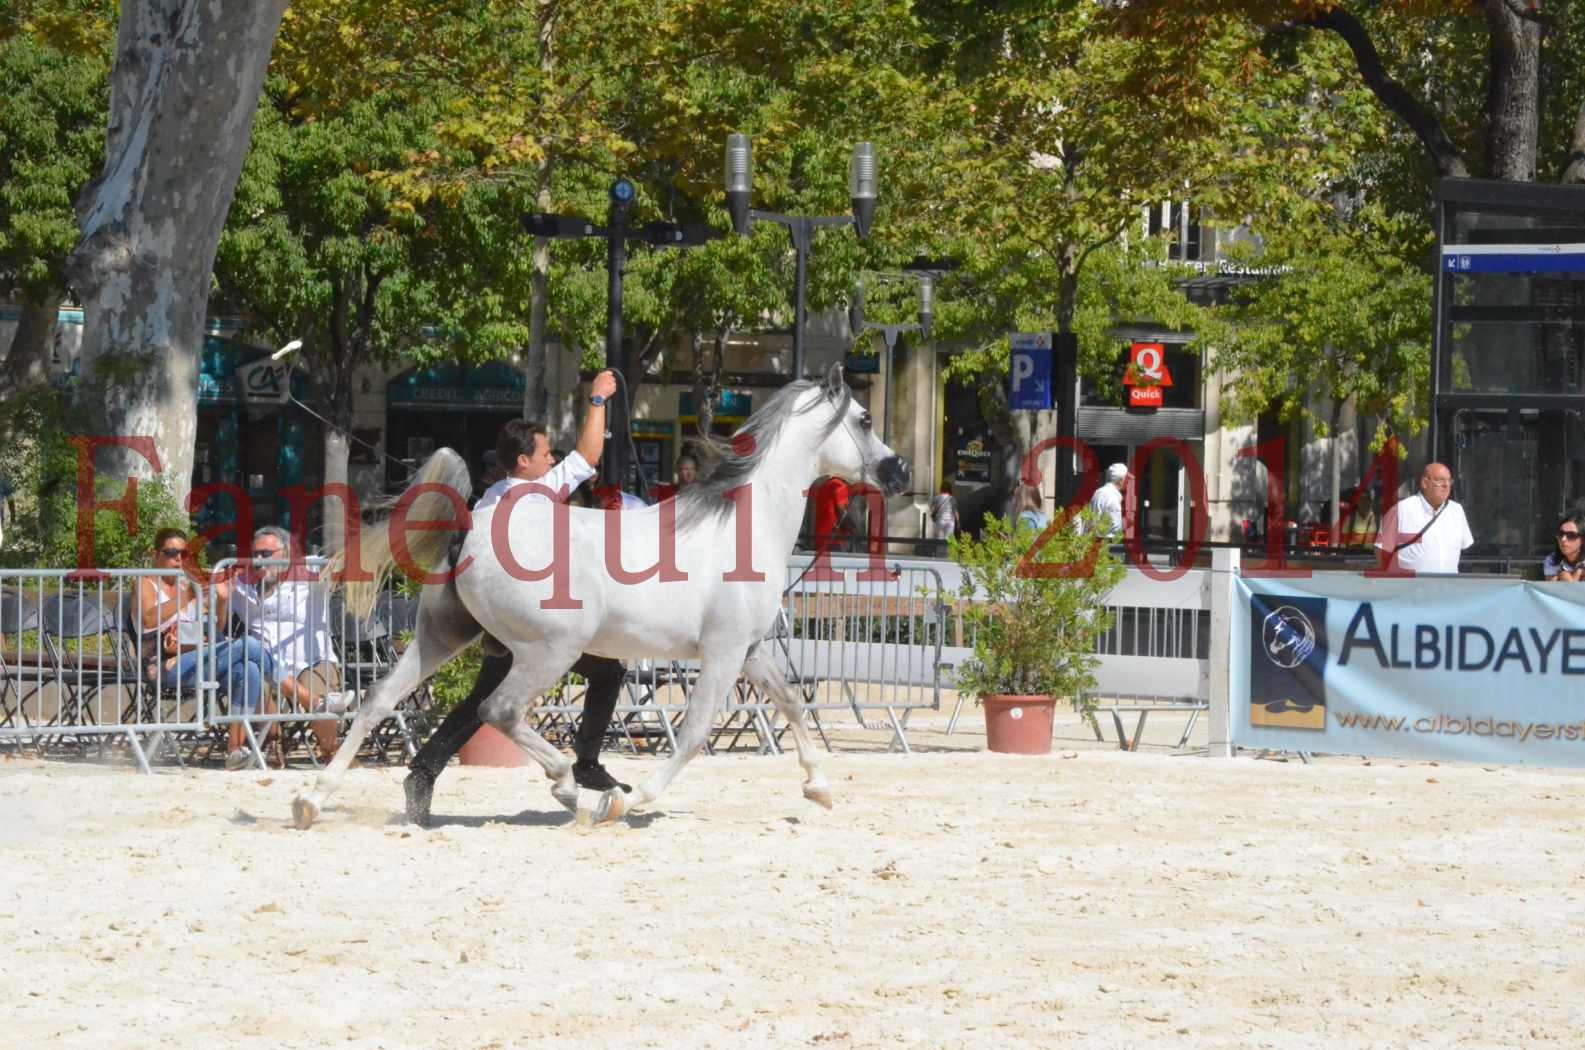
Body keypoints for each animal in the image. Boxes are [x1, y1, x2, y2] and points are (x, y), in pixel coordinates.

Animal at [293, 367, 912, 831]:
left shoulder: (751, 652)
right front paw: (626, 800)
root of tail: (469, 526)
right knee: (499, 711)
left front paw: (820, 787)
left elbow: (791, 704)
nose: (900, 471)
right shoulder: (722, 653)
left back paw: (313, 800)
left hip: (444, 637)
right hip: (552, 650)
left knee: (378, 700)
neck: (742, 527)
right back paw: (570, 788)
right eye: (863, 419)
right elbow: (692, 735)